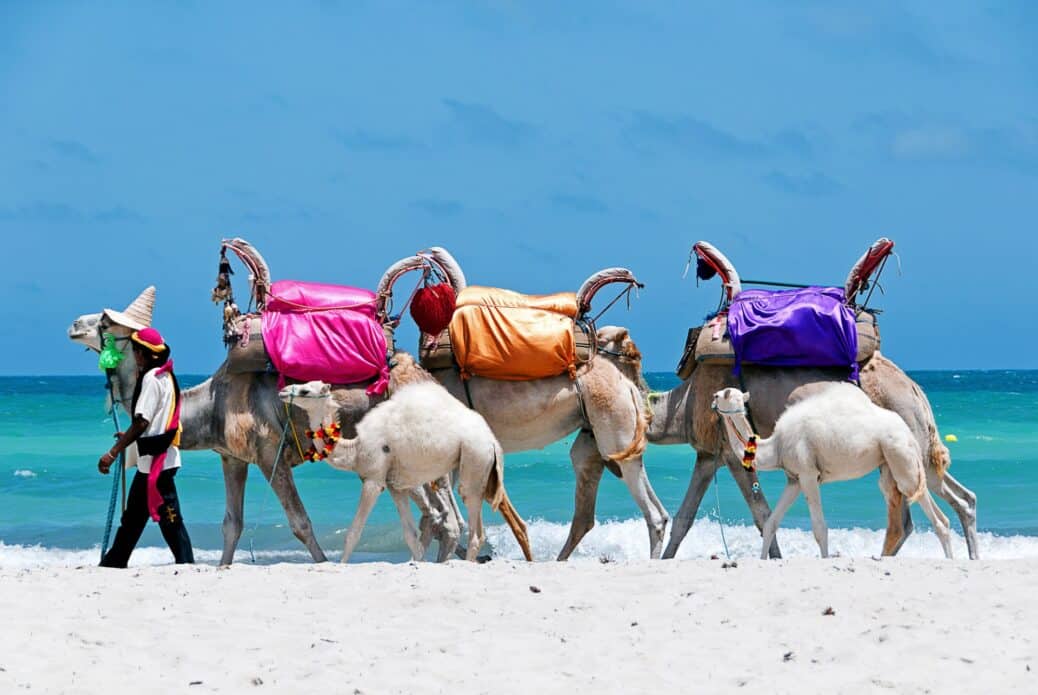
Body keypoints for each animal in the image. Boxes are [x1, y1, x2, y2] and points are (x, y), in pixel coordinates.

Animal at [68, 283, 461, 566]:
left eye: (105, 322)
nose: (74, 324)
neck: (210, 404)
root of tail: (422, 375)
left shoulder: (271, 454)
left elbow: (300, 523)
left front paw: (322, 564)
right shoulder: (232, 458)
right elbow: (232, 525)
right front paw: (223, 567)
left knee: (441, 515)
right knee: (439, 516)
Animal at [280, 374, 534, 563]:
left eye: (305, 391)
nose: (282, 391)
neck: (356, 449)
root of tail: (493, 443)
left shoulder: (374, 480)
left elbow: (353, 533)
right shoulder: (396, 486)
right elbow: (411, 536)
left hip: (474, 458)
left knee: (475, 529)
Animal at [376, 249, 669, 560]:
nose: (380, 308)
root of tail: (628, 387)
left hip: (616, 429)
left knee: (652, 513)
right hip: (595, 438)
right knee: (593, 508)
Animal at [712, 385, 954, 559]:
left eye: (722, 394)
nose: (712, 399)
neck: (775, 446)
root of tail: (906, 430)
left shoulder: (808, 474)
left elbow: (819, 528)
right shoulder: (794, 480)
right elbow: (772, 523)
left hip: (899, 453)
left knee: (932, 512)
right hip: (890, 463)